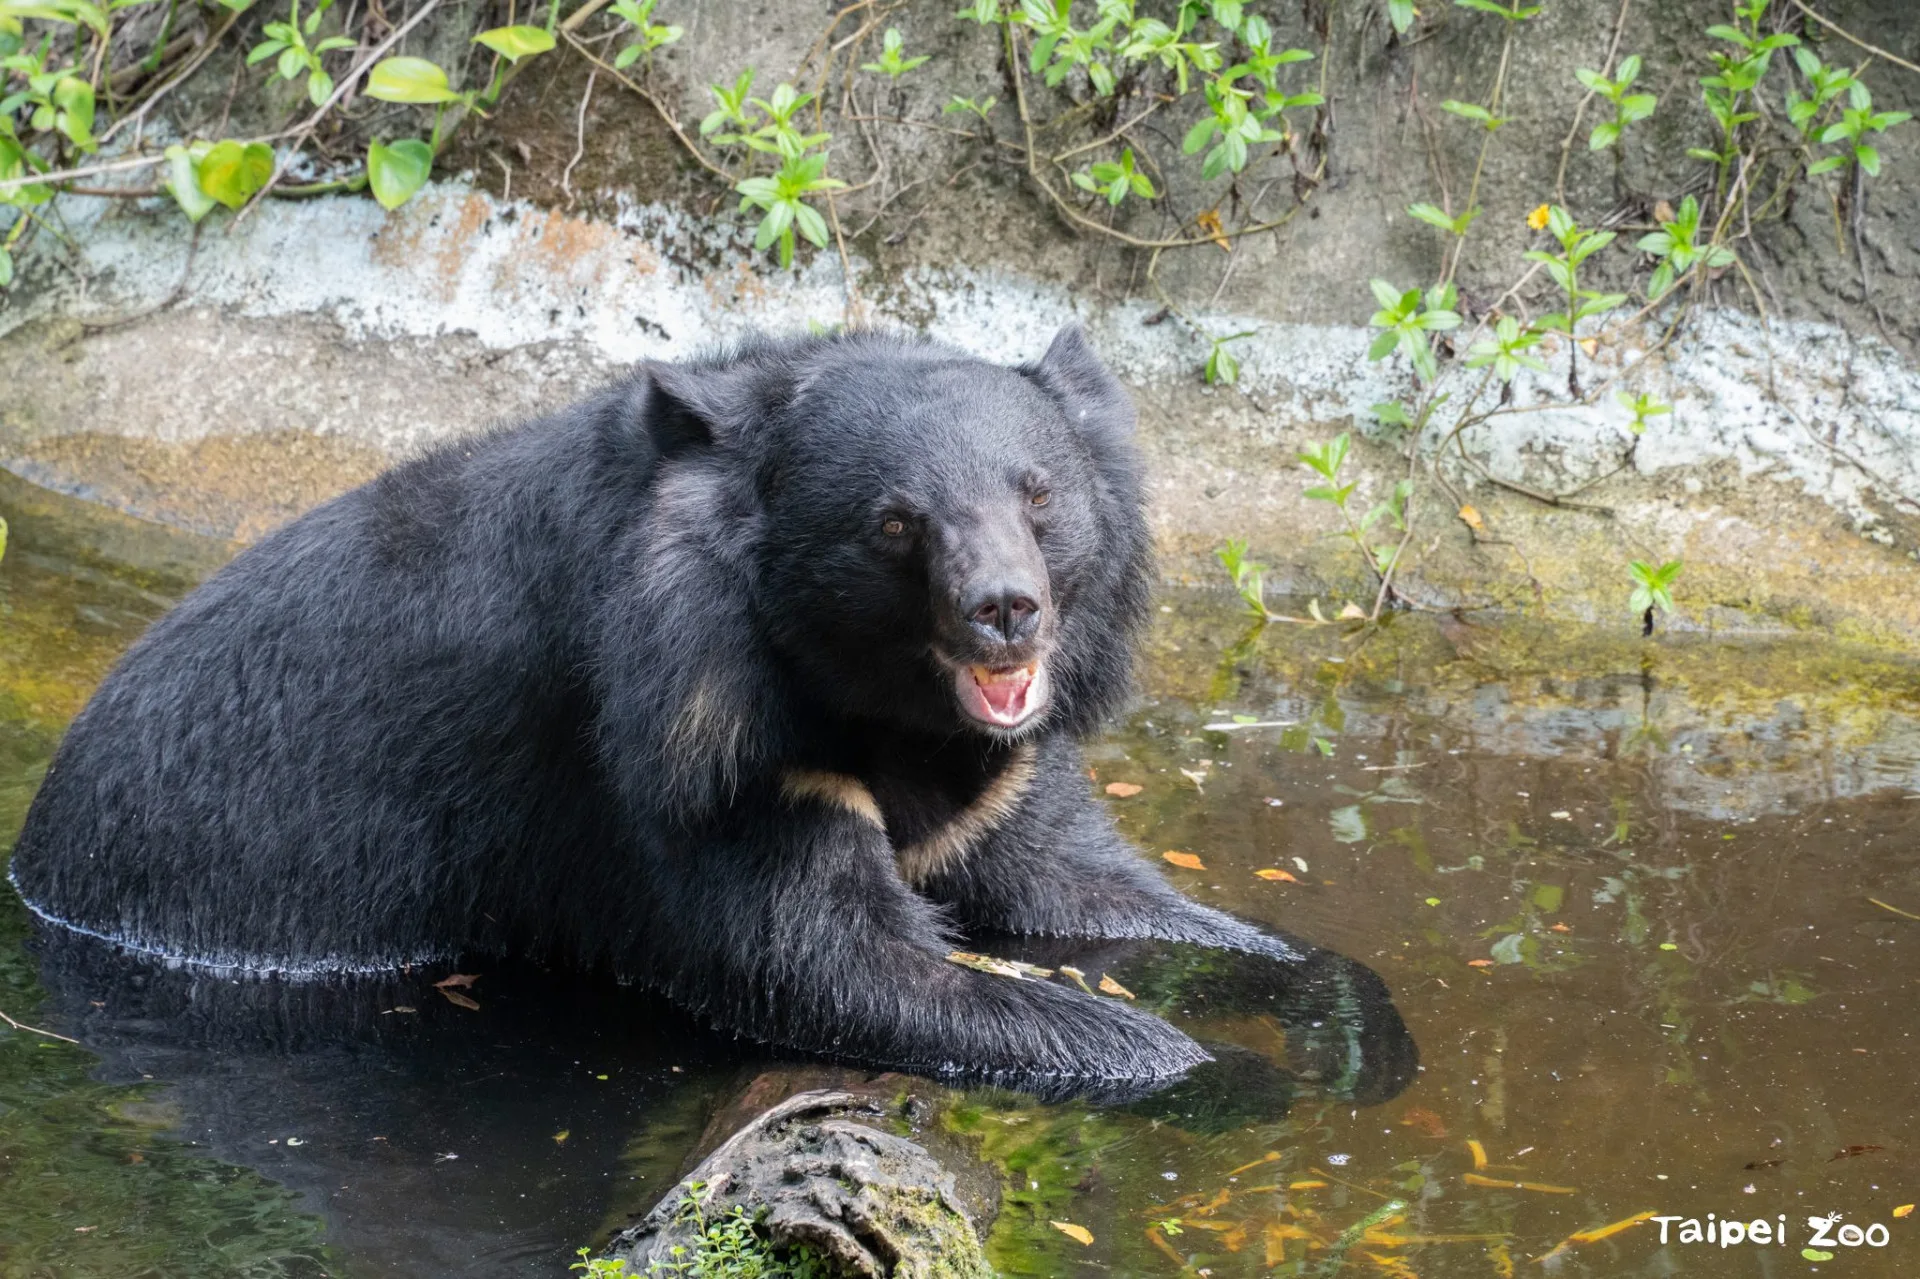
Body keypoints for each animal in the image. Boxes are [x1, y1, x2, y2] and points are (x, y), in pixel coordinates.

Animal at [9, 326, 1303, 1087]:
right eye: (897, 522)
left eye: (1039, 496)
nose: (1006, 611)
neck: (876, 700)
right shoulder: (677, 747)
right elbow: (825, 961)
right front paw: (1215, 1069)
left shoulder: (1000, 767)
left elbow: (1080, 883)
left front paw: (1319, 997)